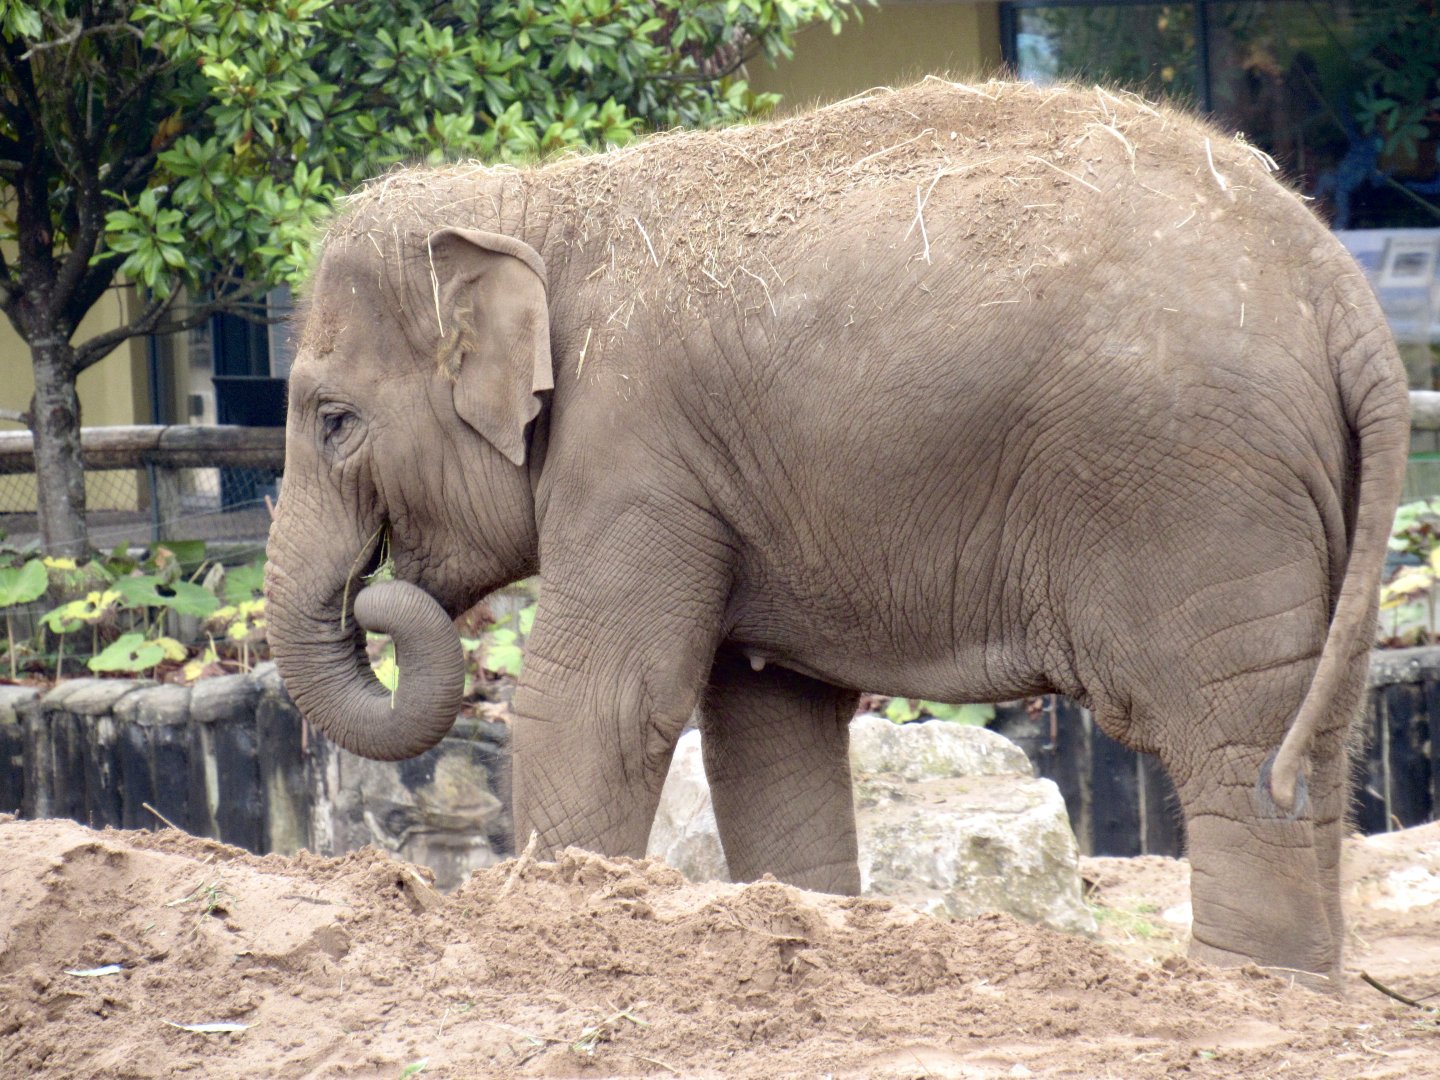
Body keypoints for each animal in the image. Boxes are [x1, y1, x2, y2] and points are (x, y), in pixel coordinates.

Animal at [265, 78, 1409, 989]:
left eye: (333, 421)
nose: (378, 586)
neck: (540, 200)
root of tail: (1336, 285)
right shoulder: (718, 480)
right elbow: (765, 723)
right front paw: (803, 923)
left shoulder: (635, 452)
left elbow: (597, 699)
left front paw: (551, 920)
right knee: (1321, 719)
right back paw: (1313, 988)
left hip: (1192, 493)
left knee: (1232, 724)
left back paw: (1242, 985)